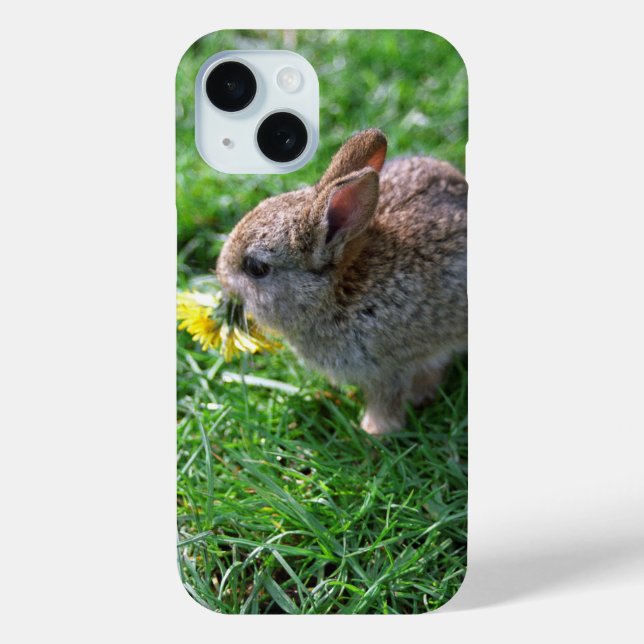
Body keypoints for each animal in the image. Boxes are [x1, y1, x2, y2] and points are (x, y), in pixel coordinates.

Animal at [216, 129, 467, 435]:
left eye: (256, 268)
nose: (221, 274)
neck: (335, 292)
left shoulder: (391, 369)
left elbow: (388, 401)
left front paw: (374, 432)